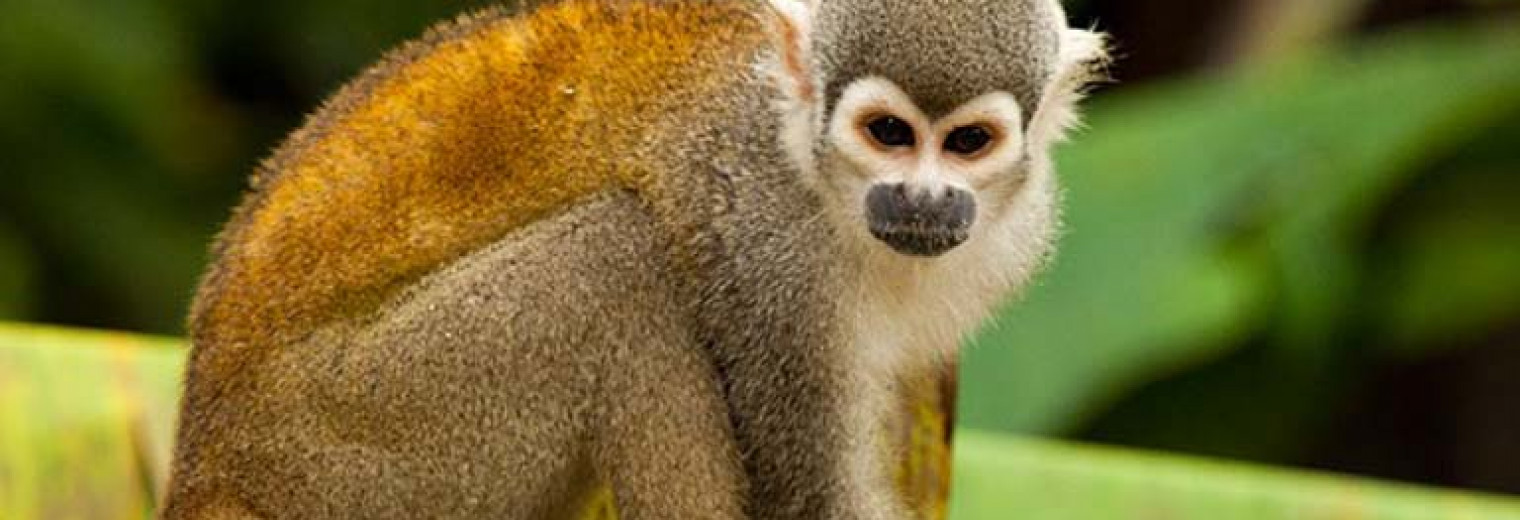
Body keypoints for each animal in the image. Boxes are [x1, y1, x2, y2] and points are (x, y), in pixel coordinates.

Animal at [163, 1, 1106, 520]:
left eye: (968, 143)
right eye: (888, 134)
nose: (921, 200)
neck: (813, 169)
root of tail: (208, 450)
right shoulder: (763, 238)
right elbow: (812, 497)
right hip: (358, 437)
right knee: (619, 264)